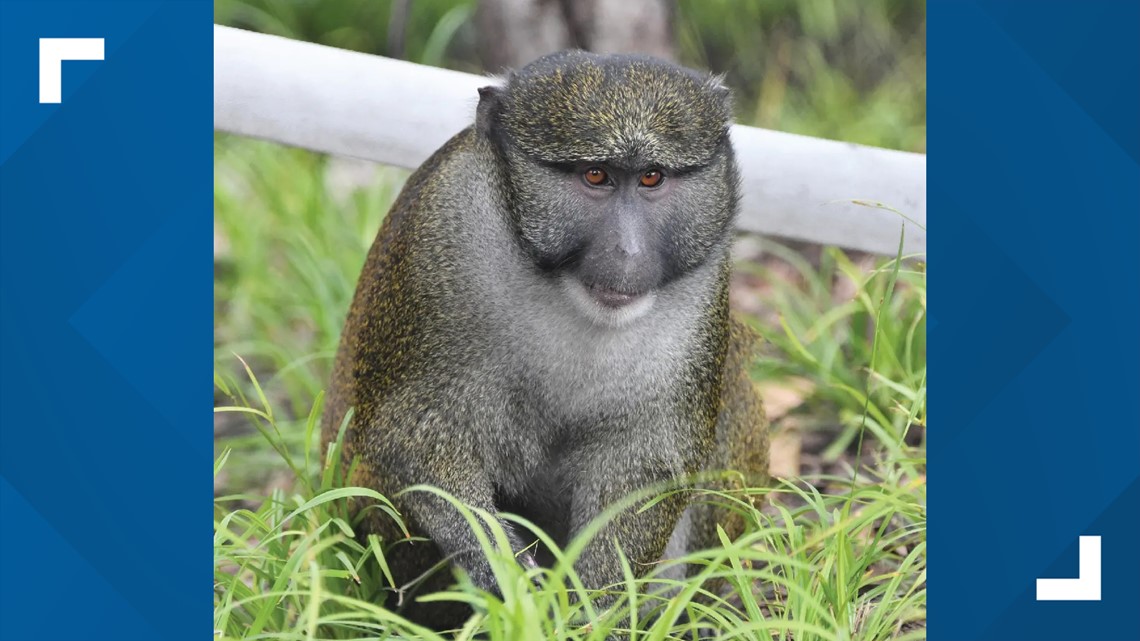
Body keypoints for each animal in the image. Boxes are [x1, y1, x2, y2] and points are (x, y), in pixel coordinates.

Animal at [321, 50, 769, 630]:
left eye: (652, 177)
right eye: (595, 175)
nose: (628, 252)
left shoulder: (702, 286)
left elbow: (645, 461)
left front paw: (593, 616)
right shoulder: (442, 226)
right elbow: (410, 436)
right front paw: (510, 581)